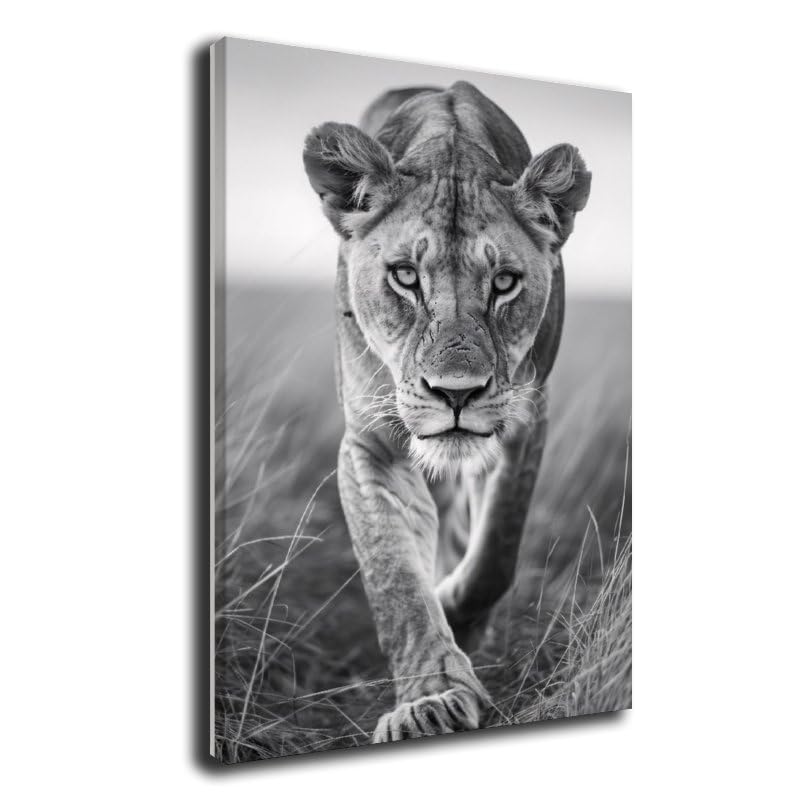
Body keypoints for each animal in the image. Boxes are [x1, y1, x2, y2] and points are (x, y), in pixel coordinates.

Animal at [302, 81, 591, 743]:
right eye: (405, 276)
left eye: (505, 282)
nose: (456, 393)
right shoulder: (372, 443)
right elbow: (395, 579)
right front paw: (430, 700)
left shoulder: (524, 421)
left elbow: (495, 554)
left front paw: (460, 612)